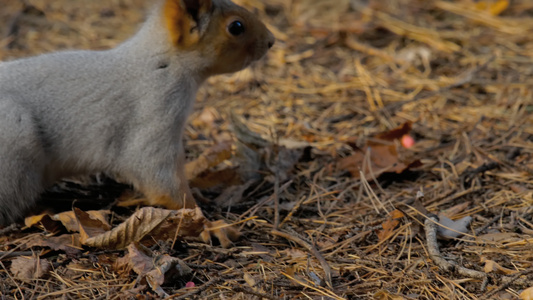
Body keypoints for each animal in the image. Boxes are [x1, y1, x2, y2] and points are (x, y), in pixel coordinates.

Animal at [0, 0, 274, 225]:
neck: (163, 62)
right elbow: (156, 172)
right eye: (236, 27)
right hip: (15, 146)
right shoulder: (155, 110)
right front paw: (203, 220)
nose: (271, 41)